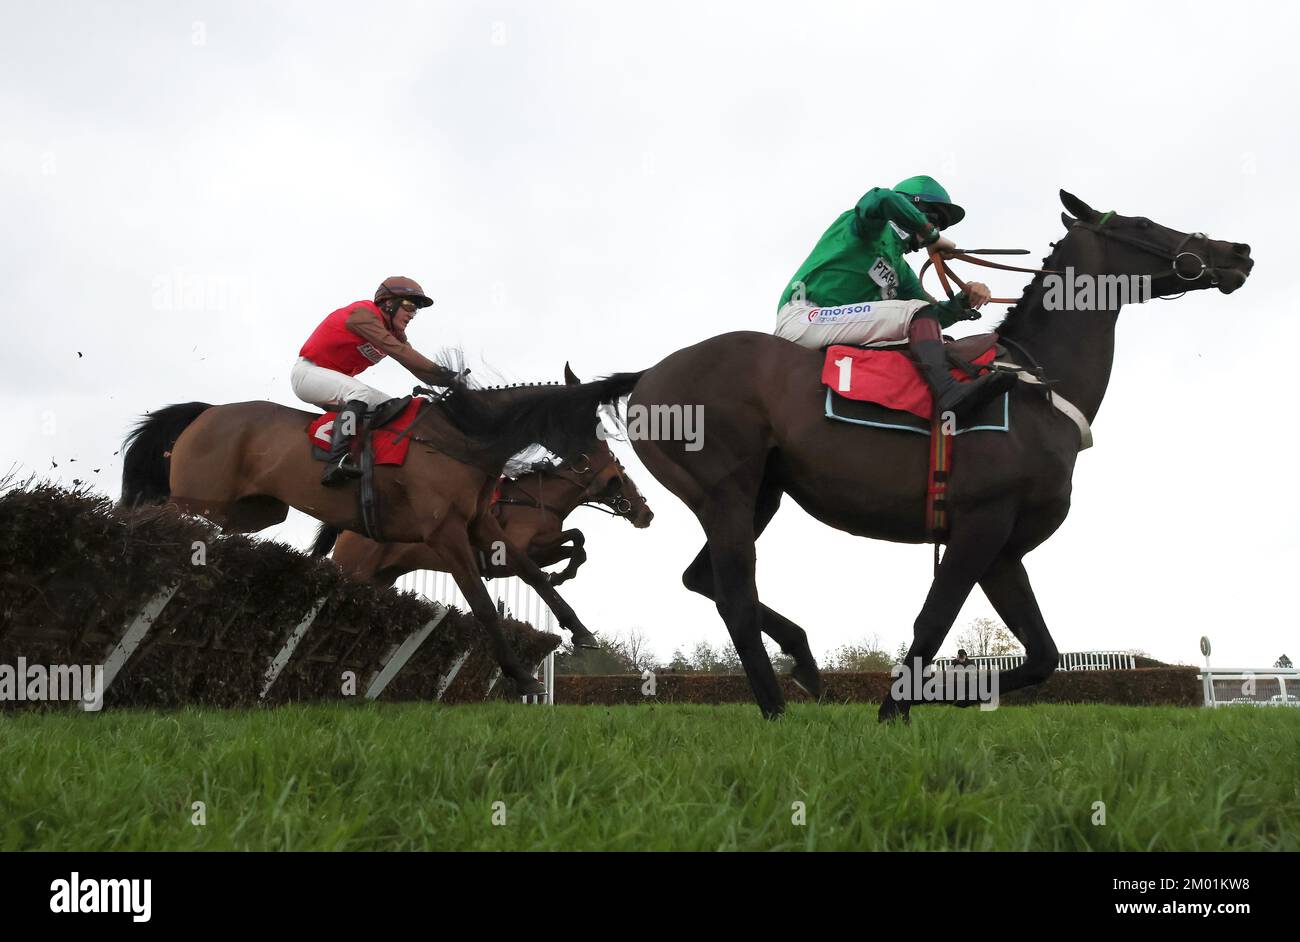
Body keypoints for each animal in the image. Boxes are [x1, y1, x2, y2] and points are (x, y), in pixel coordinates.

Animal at [120, 371, 639, 696]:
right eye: (590, 426)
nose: (617, 481)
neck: (463, 438)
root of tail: (207, 410)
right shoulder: (446, 533)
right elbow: (483, 602)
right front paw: (520, 674)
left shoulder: (482, 525)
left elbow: (535, 572)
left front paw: (581, 631)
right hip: (201, 498)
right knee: (161, 513)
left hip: (254, 511)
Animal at [624, 190, 1253, 722]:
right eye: (1141, 224)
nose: (1237, 252)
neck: (1036, 385)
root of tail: (646, 375)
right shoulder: (978, 524)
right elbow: (935, 618)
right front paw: (893, 709)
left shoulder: (1004, 547)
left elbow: (1044, 655)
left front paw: (951, 695)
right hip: (725, 491)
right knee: (734, 594)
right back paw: (777, 709)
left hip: (762, 494)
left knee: (702, 577)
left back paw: (803, 659)